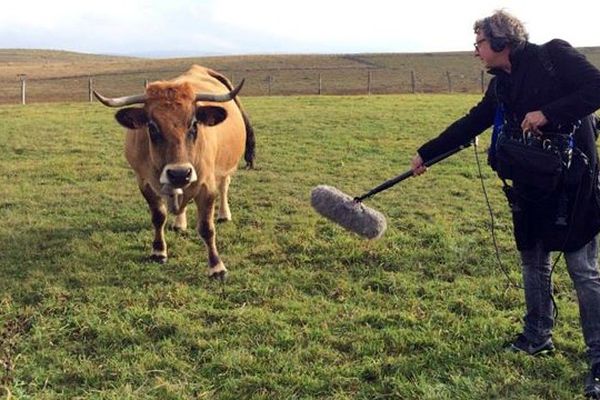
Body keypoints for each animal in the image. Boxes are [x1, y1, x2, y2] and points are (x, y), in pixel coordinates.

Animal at [94, 65, 255, 280]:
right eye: (152, 127)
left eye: (194, 124)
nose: (180, 173)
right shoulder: (144, 182)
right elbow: (158, 216)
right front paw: (158, 251)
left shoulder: (207, 185)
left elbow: (207, 228)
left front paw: (216, 267)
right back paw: (179, 223)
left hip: (225, 167)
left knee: (224, 185)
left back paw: (223, 214)